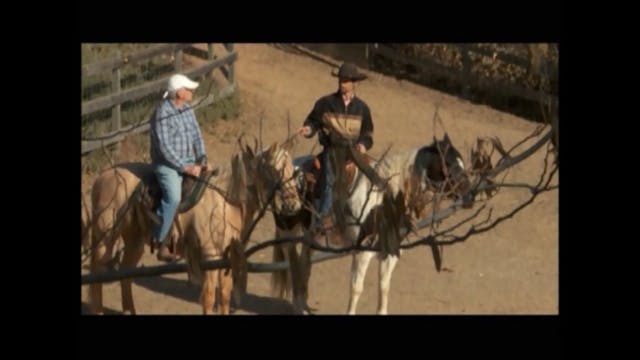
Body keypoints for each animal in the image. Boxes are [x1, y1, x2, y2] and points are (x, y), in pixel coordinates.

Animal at [87, 141, 302, 316]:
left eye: (293, 170)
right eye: (276, 170)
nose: (294, 205)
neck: (226, 200)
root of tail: (102, 177)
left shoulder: (227, 256)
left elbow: (224, 296)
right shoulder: (210, 255)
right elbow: (209, 297)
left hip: (134, 241)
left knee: (125, 273)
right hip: (106, 239)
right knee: (97, 274)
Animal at [270, 134, 470, 314]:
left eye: (461, 162)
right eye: (448, 163)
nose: (468, 193)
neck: (383, 200)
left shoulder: (390, 251)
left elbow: (384, 286)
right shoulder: (362, 252)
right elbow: (356, 288)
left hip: (311, 236)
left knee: (305, 265)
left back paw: (303, 306)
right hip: (288, 232)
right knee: (294, 267)